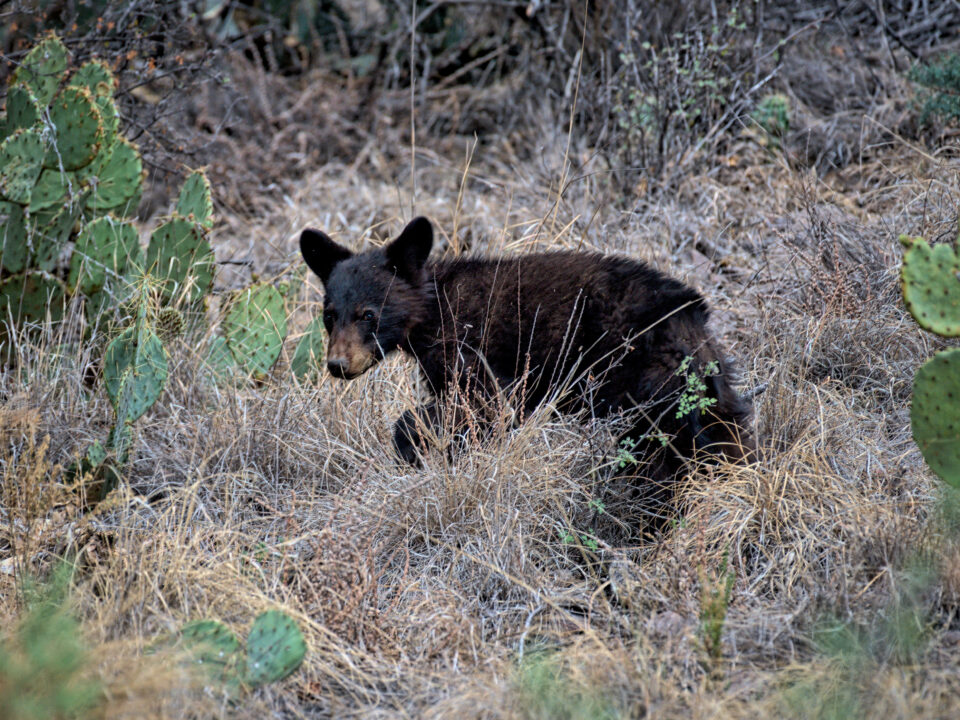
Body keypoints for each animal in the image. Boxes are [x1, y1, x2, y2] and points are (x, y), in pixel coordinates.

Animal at [300, 216, 754, 516]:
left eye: (369, 314)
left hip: (644, 382)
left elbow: (487, 406)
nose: (338, 364)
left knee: (661, 453)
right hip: (707, 384)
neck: (431, 311)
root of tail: (690, 315)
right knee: (723, 433)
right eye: (329, 315)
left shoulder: (472, 351)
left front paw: (417, 452)